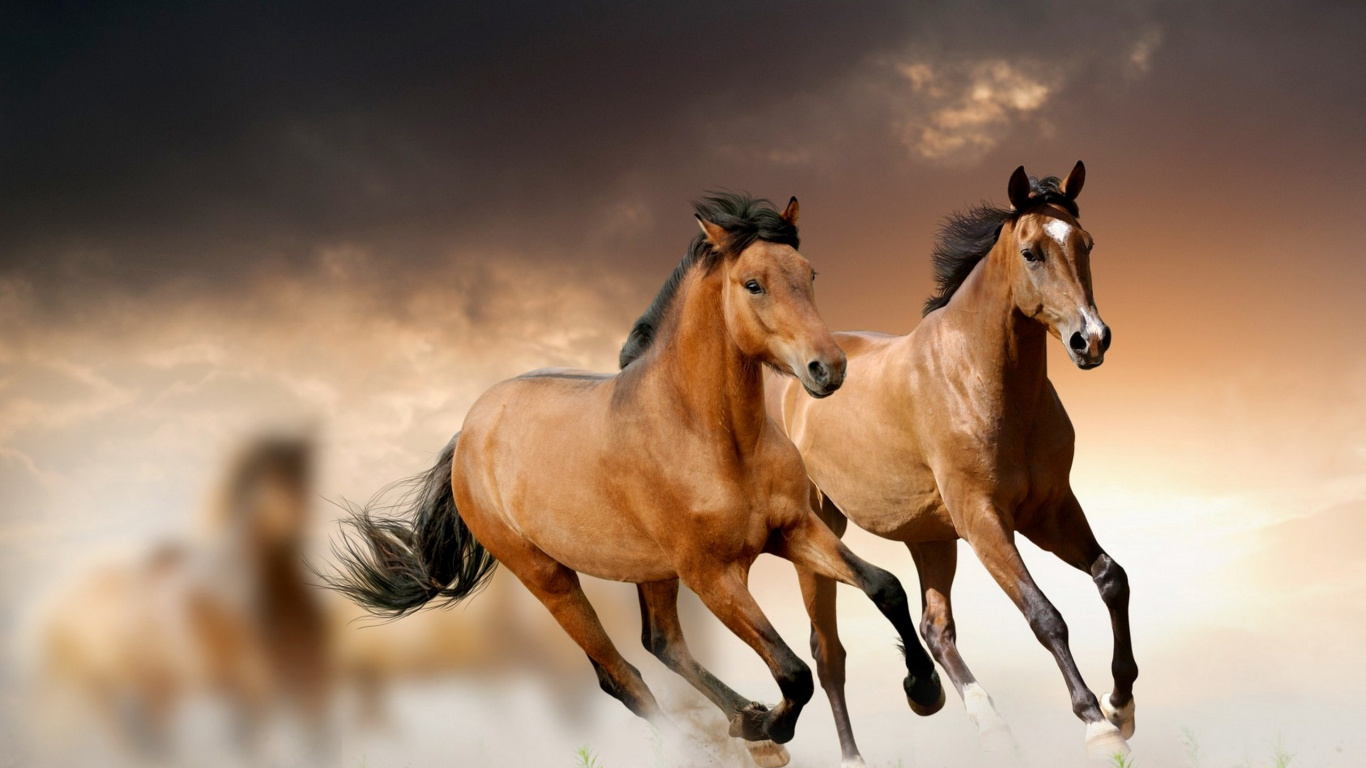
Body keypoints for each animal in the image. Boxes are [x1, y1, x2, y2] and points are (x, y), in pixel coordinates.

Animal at [35, 435, 331, 762]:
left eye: (304, 470)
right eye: (268, 474)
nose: (297, 518)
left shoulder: (311, 690)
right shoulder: (256, 694)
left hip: (157, 693)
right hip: (128, 694)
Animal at [323, 193, 944, 768]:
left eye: (809, 273)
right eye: (753, 284)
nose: (828, 369)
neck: (713, 437)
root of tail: (469, 432)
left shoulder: (792, 530)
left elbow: (885, 586)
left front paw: (924, 691)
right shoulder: (712, 575)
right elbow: (793, 672)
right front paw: (770, 725)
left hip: (651, 570)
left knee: (662, 643)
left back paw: (743, 719)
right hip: (549, 577)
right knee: (621, 677)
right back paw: (728, 737)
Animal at [768, 163, 1137, 763]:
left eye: (1086, 243)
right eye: (1031, 252)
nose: (1092, 339)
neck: (979, 377)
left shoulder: (1050, 510)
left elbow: (1111, 578)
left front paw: (1121, 704)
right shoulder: (984, 519)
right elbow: (1045, 616)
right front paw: (1095, 723)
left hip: (931, 538)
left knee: (935, 628)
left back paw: (981, 720)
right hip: (819, 533)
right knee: (829, 654)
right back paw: (855, 753)